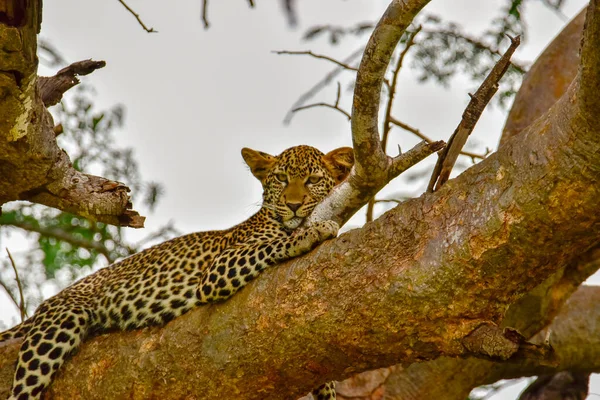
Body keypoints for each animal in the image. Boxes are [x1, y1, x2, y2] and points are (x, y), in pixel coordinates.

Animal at [0, 145, 354, 400]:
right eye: (280, 179)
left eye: (312, 181)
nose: (293, 205)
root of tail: (43, 306)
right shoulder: (218, 269)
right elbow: (274, 244)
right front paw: (313, 231)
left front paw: (327, 390)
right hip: (59, 325)